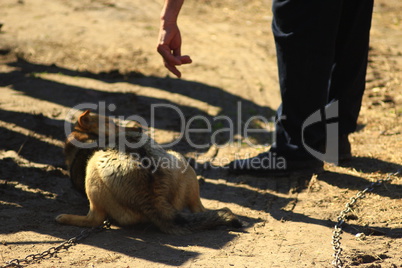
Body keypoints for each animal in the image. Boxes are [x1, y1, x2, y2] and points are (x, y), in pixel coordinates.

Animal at [56, 110, 242, 233]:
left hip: (93, 168)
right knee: (199, 209)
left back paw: (66, 218)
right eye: (112, 123)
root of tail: (153, 198)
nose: (138, 127)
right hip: (181, 162)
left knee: (94, 220)